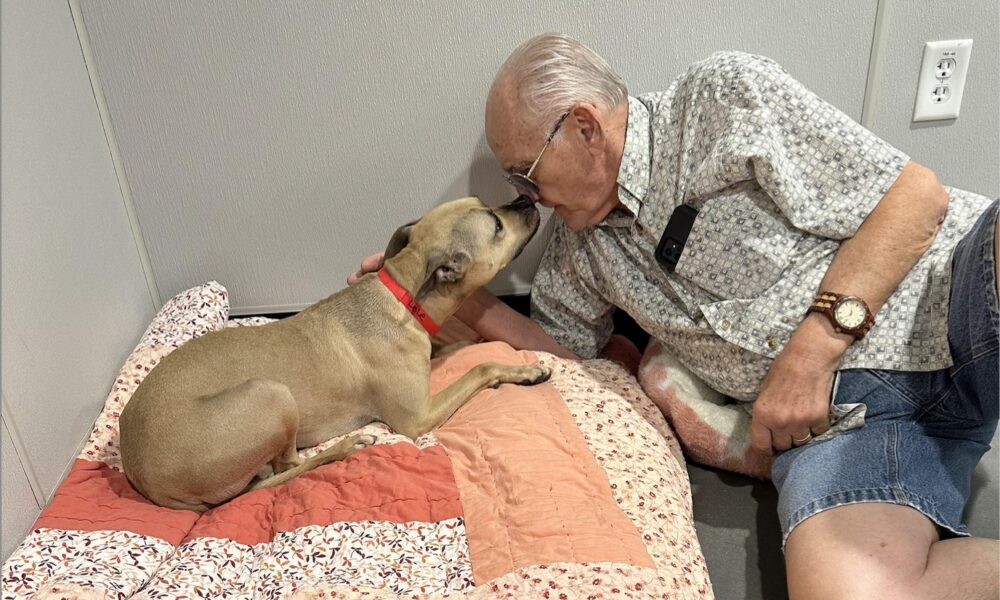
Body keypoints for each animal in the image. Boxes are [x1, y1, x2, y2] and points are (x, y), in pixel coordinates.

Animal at [121, 197, 552, 510]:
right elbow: (480, 368)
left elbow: (456, 348)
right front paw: (523, 372)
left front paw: (471, 342)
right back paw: (347, 446)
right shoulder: (416, 419)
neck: (404, 295)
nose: (526, 198)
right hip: (271, 394)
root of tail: (138, 472)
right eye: (496, 224)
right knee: (289, 466)